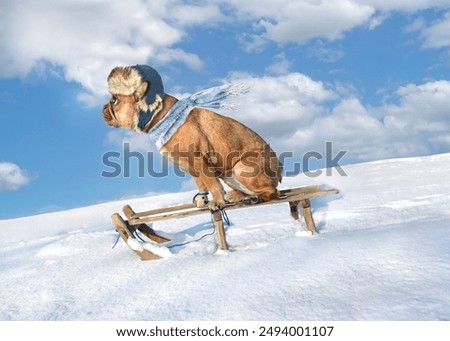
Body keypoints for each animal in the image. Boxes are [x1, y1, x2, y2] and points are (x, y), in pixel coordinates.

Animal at [103, 64, 284, 210]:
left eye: (114, 100)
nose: (103, 107)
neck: (163, 117)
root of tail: (279, 170)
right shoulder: (189, 166)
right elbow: (201, 184)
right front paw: (202, 200)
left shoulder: (199, 161)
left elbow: (213, 184)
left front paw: (218, 202)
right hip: (229, 175)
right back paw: (238, 196)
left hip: (242, 167)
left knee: (272, 191)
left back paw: (254, 198)